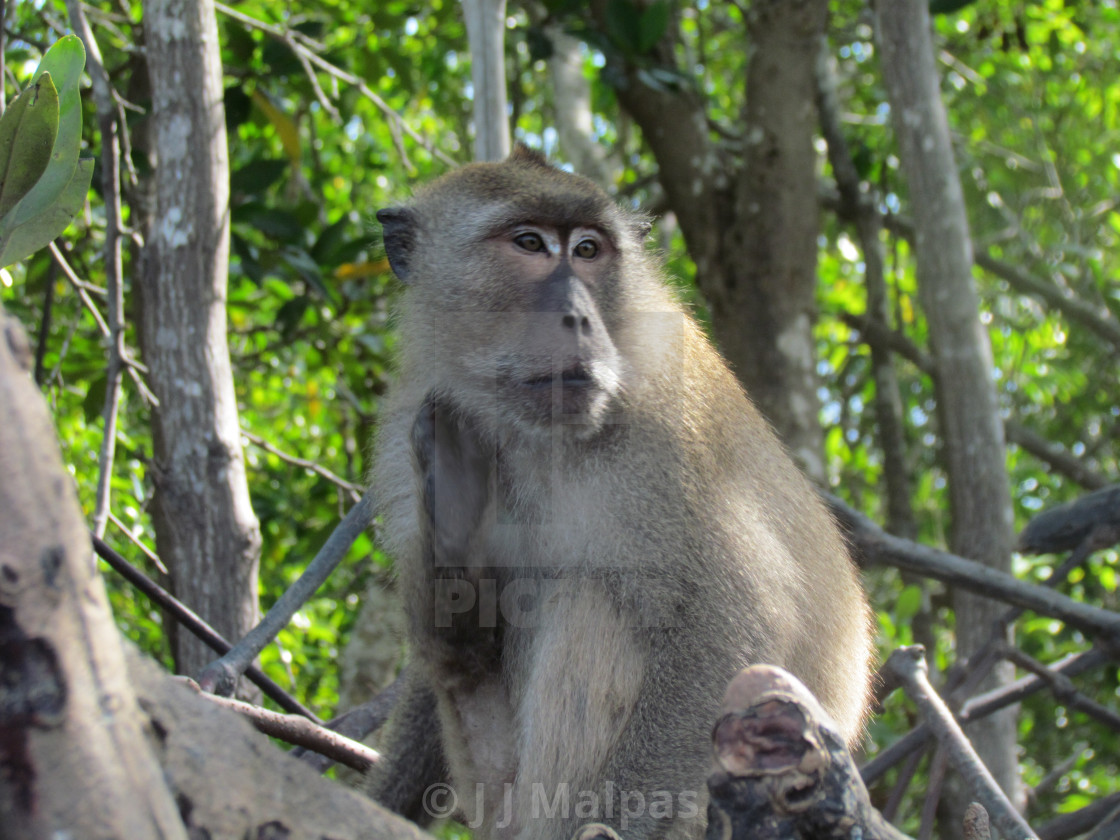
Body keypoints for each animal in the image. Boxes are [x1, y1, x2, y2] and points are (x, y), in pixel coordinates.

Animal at [367, 146, 873, 840]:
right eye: (529, 243)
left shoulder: (664, 438)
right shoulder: (414, 420)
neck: (525, 431)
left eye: (587, 249)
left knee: (592, 598)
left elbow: (736, 620)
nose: (579, 317)